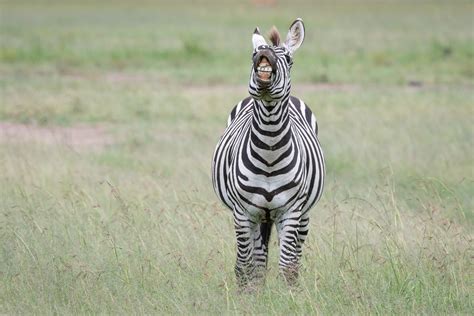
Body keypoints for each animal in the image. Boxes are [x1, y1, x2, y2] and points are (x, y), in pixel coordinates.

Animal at [212, 18, 326, 288]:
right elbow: (245, 266)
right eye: (253, 54)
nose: (264, 56)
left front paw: (288, 295)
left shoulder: (291, 211)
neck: (269, 149)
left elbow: (287, 267)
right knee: (257, 261)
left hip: (303, 215)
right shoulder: (243, 213)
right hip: (258, 217)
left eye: (289, 59)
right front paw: (249, 295)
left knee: (293, 256)